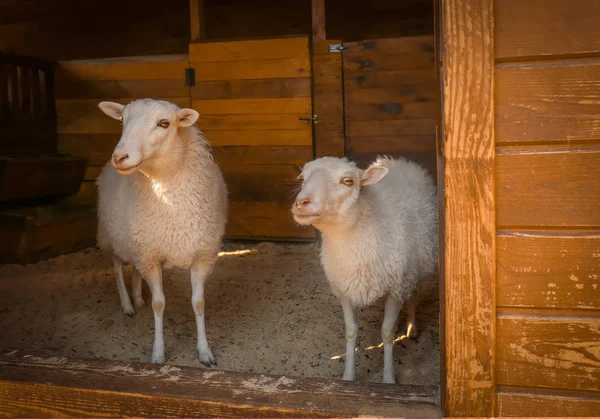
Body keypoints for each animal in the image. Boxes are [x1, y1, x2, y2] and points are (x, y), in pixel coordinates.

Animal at [96, 97, 227, 364]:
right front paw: (158, 353)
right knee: (117, 268)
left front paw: (205, 352)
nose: (120, 157)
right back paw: (127, 304)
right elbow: (159, 304)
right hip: (113, 236)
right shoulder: (151, 257)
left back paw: (137, 298)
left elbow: (198, 303)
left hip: (137, 243)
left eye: (164, 123)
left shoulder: (201, 255)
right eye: (122, 120)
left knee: (135, 270)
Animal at [292, 157, 438, 384]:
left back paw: (412, 327)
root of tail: (402, 161)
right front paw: (348, 376)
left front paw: (389, 379)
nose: (301, 202)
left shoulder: (395, 287)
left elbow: (386, 333)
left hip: (416, 266)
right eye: (302, 178)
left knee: (413, 294)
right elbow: (351, 331)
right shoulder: (344, 288)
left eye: (348, 181)